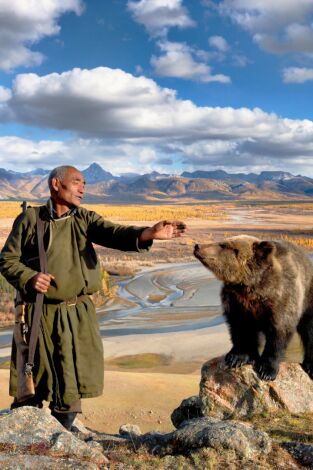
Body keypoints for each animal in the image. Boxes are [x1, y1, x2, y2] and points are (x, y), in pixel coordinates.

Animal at [193, 235, 312, 382]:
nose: (197, 246)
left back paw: (310, 365)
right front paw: (236, 357)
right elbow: (240, 328)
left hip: (309, 298)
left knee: (309, 330)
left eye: (223, 245)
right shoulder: (236, 301)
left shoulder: (281, 299)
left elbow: (279, 332)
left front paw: (267, 370)